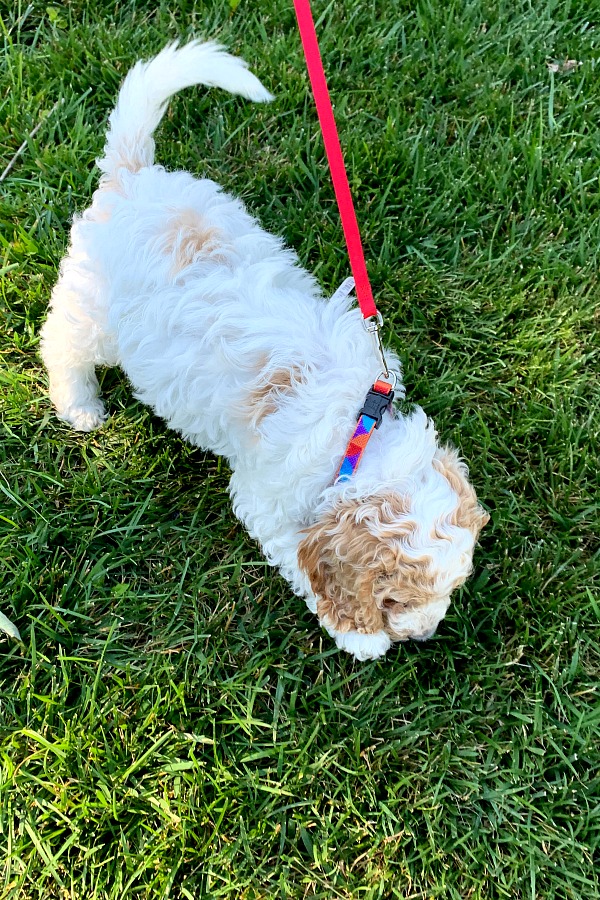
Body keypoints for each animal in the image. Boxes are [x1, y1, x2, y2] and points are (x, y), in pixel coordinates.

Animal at [41, 40, 488, 660]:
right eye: (394, 598)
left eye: (452, 585)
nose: (424, 634)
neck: (357, 436)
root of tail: (133, 177)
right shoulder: (272, 505)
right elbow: (300, 561)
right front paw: (360, 637)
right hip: (93, 306)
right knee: (61, 343)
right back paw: (80, 406)